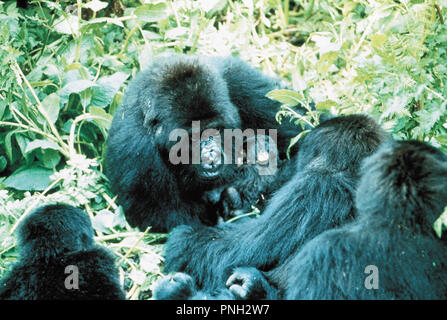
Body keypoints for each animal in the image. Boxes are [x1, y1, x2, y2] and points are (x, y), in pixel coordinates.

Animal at [105, 53, 304, 231]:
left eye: (215, 129)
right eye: (191, 137)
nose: (211, 152)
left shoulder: (244, 83)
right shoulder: (135, 150)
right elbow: (171, 217)